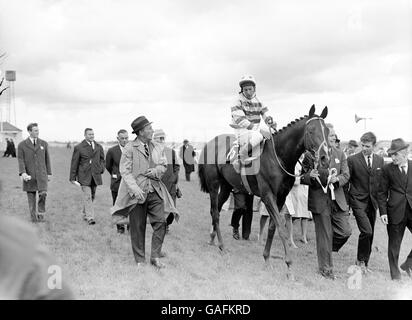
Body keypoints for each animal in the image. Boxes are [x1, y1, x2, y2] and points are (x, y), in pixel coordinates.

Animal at [198, 104, 330, 278]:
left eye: (326, 131)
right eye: (310, 131)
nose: (324, 158)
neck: (278, 157)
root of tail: (208, 144)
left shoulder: (281, 197)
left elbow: (273, 227)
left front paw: (267, 258)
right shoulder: (268, 196)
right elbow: (281, 227)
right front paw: (289, 266)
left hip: (226, 187)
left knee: (216, 209)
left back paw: (213, 239)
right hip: (213, 185)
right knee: (215, 211)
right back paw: (222, 245)